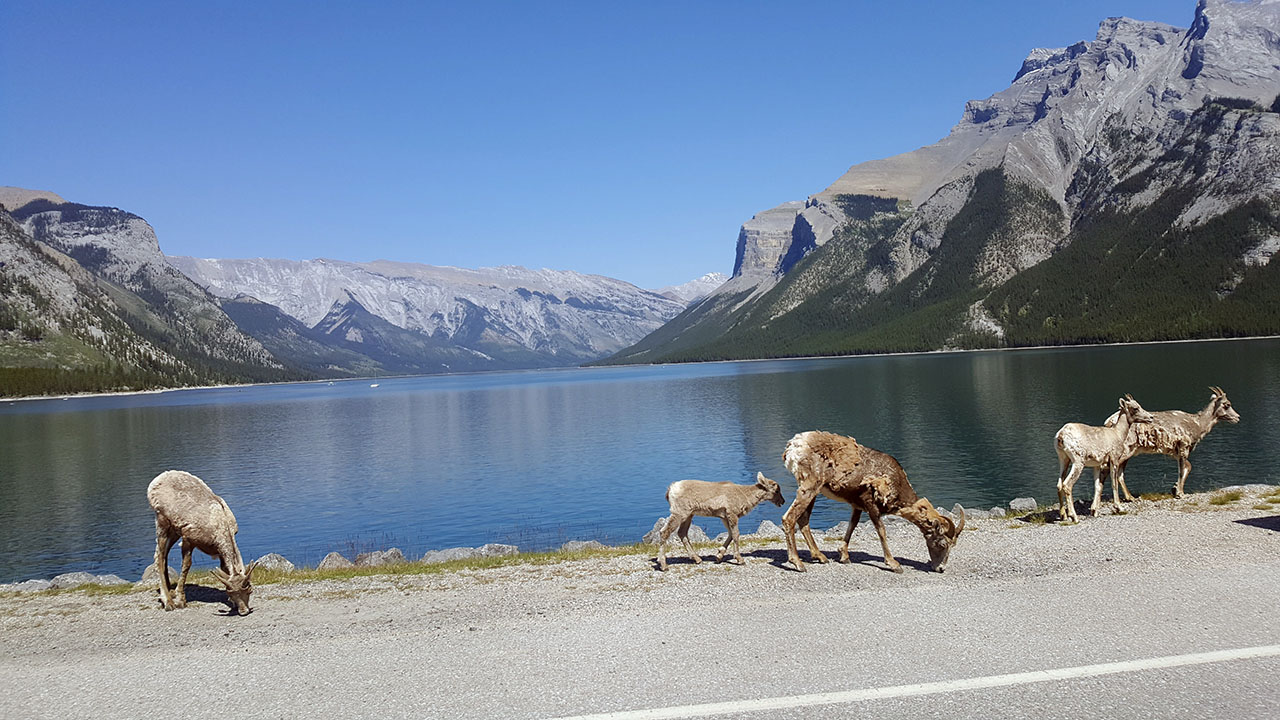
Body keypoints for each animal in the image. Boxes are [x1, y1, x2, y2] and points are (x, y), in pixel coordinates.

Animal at [146, 470, 257, 614]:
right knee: (159, 556)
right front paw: (181, 601)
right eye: (232, 593)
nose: (244, 611)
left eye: (249, 591)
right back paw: (168, 602)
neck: (220, 524)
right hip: (162, 521)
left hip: (174, 531)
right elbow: (186, 566)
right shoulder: (189, 539)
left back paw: (170, 592)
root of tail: (155, 481)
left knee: (163, 555)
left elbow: (225, 569)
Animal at [655, 473, 785, 571]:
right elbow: (736, 534)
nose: (782, 501)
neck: (745, 497)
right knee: (664, 531)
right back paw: (664, 565)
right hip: (679, 512)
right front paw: (740, 559)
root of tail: (670, 490)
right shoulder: (732, 513)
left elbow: (731, 534)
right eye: (776, 490)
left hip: (688, 515)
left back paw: (697, 559)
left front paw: (718, 556)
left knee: (682, 533)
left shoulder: (724, 517)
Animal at [780, 431, 965, 573]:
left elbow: (852, 525)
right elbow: (881, 531)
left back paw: (820, 557)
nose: (940, 568)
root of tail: (793, 447)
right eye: (942, 543)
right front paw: (894, 565)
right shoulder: (870, 504)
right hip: (809, 486)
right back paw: (798, 564)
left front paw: (844, 557)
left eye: (953, 545)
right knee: (789, 518)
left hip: (814, 491)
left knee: (803, 520)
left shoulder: (857, 505)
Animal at [1107, 387, 1241, 500]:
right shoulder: (1183, 448)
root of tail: (1110, 422)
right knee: (1116, 471)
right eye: (1227, 404)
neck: (1197, 424)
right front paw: (1180, 493)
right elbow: (1181, 471)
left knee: (1119, 473)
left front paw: (1175, 488)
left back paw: (1129, 497)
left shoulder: (1175, 452)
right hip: (1125, 452)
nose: (1237, 417)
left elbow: (1188, 467)